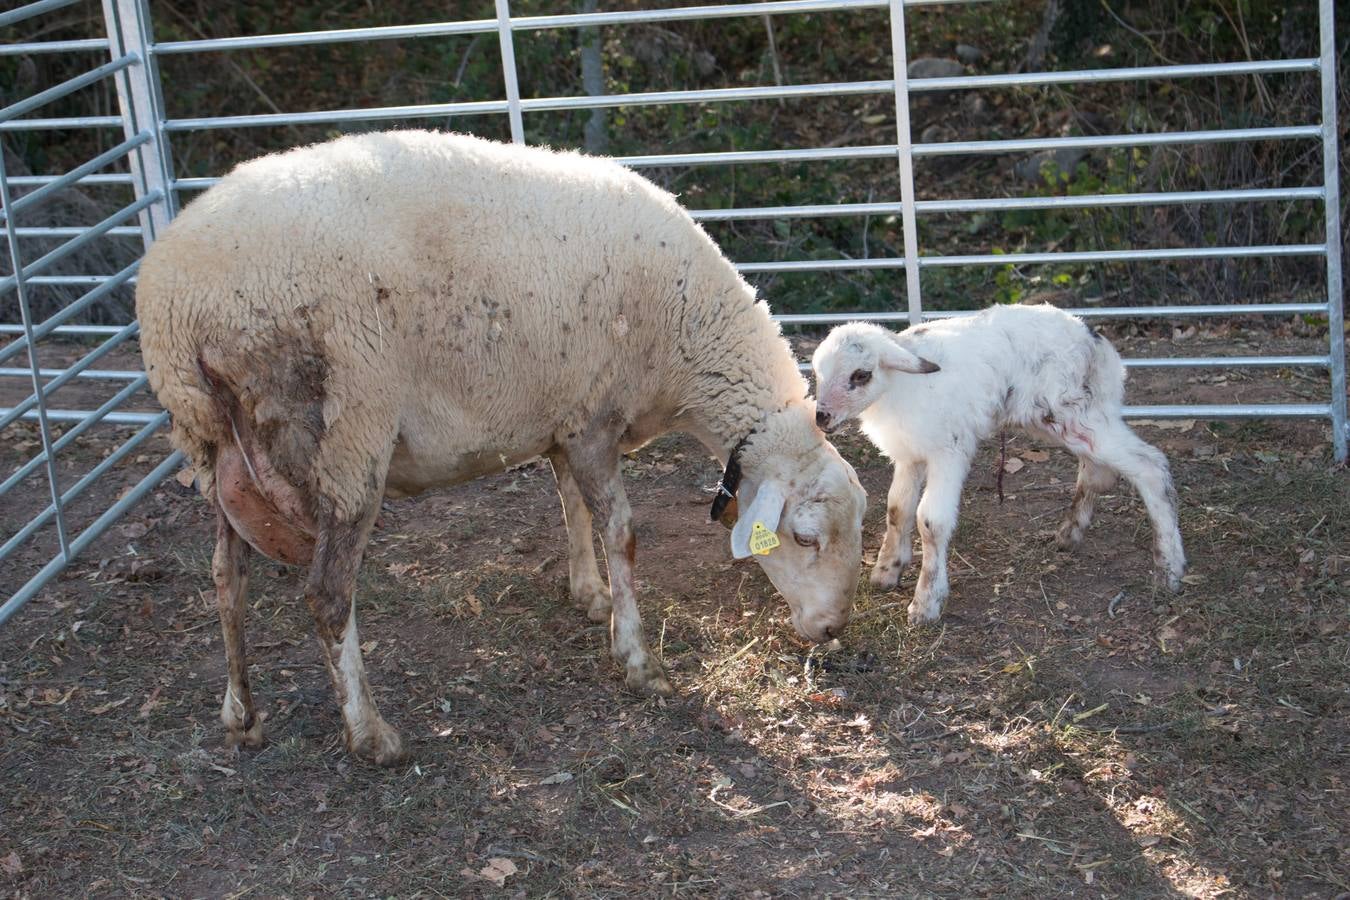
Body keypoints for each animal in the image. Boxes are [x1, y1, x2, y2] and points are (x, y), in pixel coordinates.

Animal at [134, 130, 864, 766]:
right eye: (804, 539)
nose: (833, 629)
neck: (690, 343)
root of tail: (176, 302)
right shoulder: (593, 418)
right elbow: (621, 531)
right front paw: (636, 657)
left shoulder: (565, 414)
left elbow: (571, 506)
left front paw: (588, 594)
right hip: (345, 437)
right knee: (327, 594)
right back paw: (370, 734)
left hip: (215, 453)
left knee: (226, 578)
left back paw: (241, 713)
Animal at [810, 304, 1182, 626]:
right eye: (818, 373)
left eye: (861, 375)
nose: (821, 418)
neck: (899, 387)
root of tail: (1098, 344)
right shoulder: (910, 454)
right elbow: (897, 508)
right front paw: (887, 570)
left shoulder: (949, 450)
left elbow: (931, 521)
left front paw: (926, 602)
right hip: (1063, 420)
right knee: (1097, 470)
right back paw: (1069, 533)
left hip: (1077, 415)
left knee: (1150, 466)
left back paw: (1169, 569)